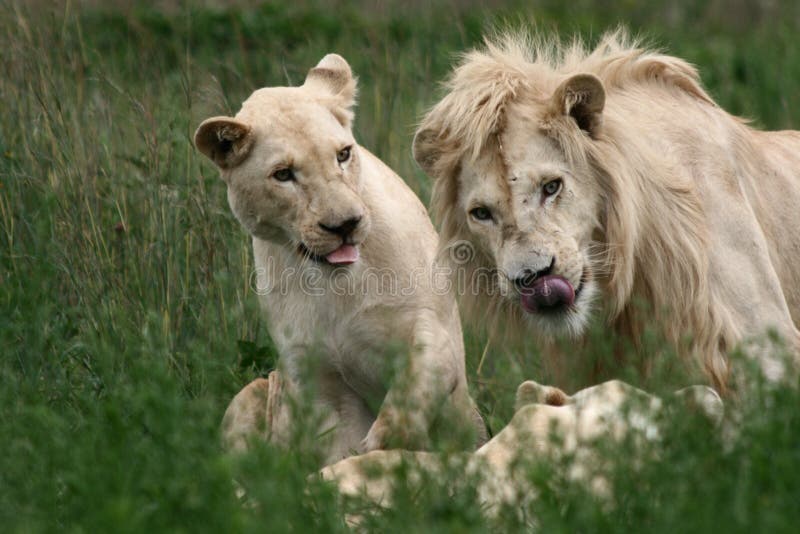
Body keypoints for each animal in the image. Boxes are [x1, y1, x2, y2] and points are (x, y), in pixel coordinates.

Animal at [195, 53, 488, 464]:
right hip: (254, 390)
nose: (345, 225)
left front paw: (386, 448)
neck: (335, 283)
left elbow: (410, 392)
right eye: (283, 174)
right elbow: (341, 445)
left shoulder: (434, 331)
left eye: (343, 154)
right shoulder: (320, 380)